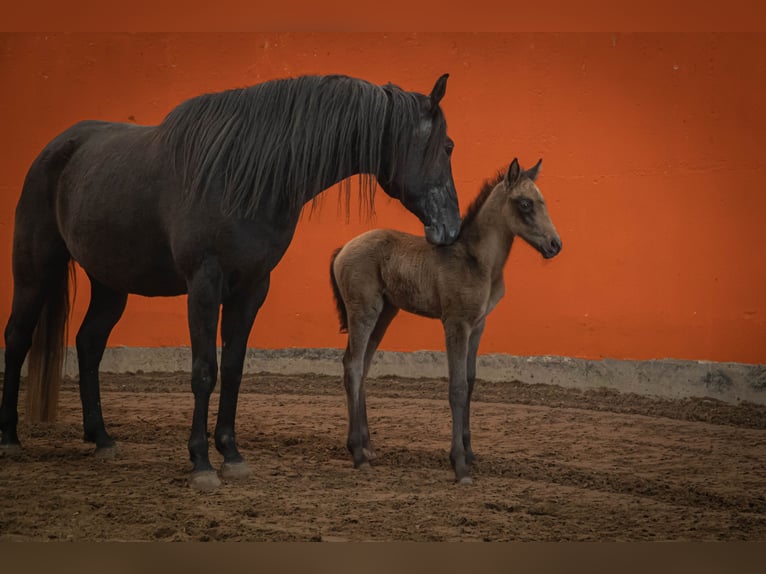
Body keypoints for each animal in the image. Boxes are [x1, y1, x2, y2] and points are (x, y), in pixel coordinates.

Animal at [1, 74, 462, 492]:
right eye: (448, 146)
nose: (451, 228)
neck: (246, 173)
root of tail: (58, 146)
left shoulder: (251, 289)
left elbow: (236, 367)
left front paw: (232, 454)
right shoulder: (204, 284)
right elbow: (205, 370)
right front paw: (202, 464)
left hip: (110, 283)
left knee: (89, 344)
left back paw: (101, 438)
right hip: (34, 270)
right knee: (18, 337)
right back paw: (10, 440)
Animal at [332, 160, 564, 484]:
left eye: (542, 201)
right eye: (525, 203)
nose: (555, 245)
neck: (478, 261)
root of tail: (342, 250)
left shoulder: (478, 325)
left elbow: (470, 380)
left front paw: (470, 452)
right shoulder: (456, 323)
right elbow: (456, 387)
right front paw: (460, 465)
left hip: (385, 313)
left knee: (362, 366)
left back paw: (367, 447)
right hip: (363, 310)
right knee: (352, 366)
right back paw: (357, 453)